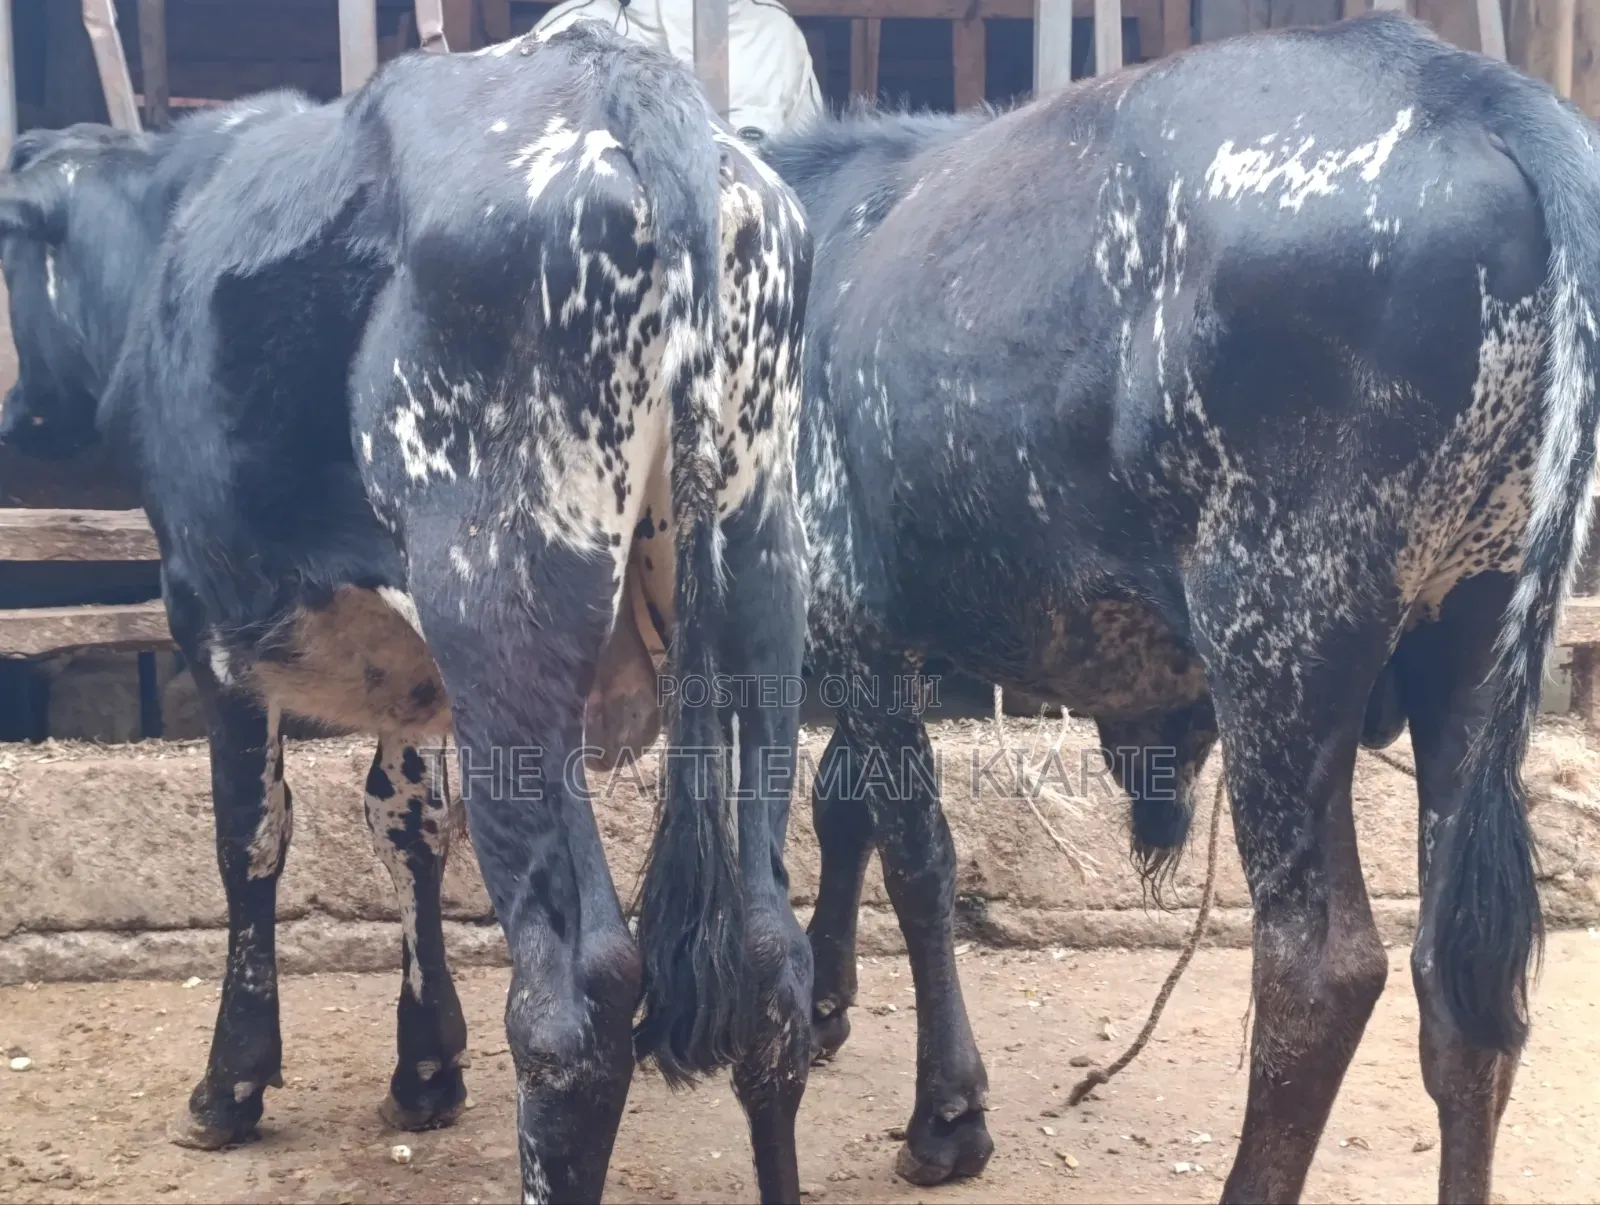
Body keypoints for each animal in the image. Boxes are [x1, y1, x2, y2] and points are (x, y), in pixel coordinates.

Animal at [0, 23, 815, 1203]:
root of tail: (618, 77)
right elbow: (408, 822)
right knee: (769, 962)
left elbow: (250, 836)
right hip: (760, 592)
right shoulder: (407, 675)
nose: (20, 412)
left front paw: (230, 1084)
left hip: (502, 620)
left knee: (576, 1000)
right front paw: (426, 1064)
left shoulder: (210, 617)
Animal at [747, 12, 1599, 1201]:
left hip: (1281, 643)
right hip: (1469, 638)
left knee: (1321, 970)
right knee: (1464, 980)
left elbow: (917, 856)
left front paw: (947, 1113)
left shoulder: (855, 623)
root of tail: (1464, 81)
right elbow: (848, 808)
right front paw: (830, 1005)